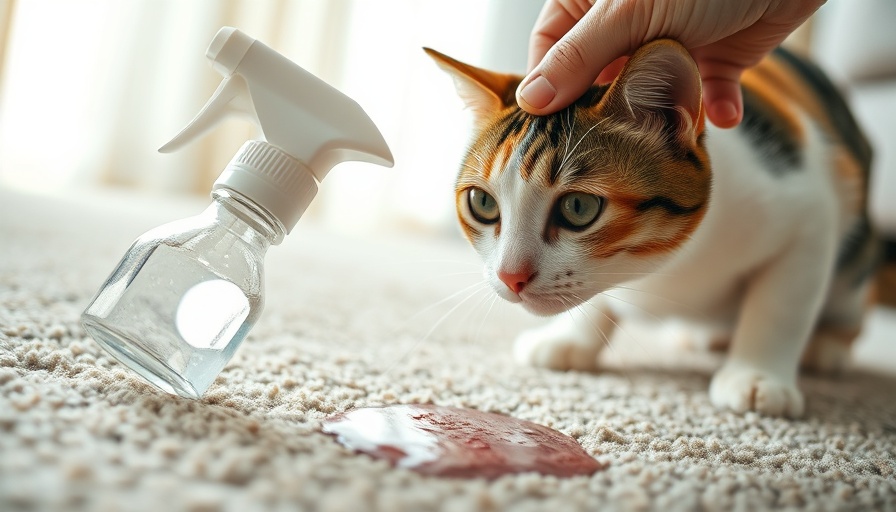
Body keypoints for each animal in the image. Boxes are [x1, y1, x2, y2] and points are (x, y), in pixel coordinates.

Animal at [426, 39, 876, 416]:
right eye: (483, 203)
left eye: (578, 207)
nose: (511, 276)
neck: (667, 263)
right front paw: (571, 339)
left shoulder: (808, 212)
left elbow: (781, 306)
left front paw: (757, 377)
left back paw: (826, 347)